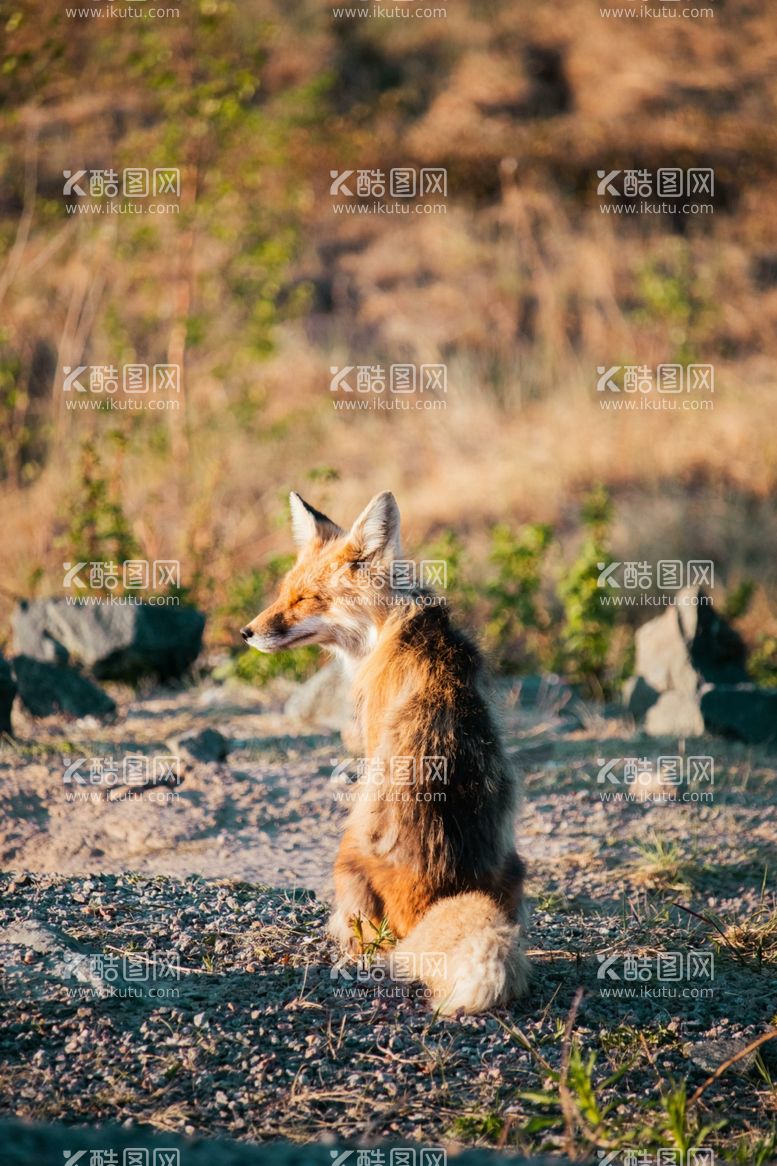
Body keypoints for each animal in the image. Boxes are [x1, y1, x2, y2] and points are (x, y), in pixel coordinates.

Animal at [239, 489, 529, 1012]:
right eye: (284, 592)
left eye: (305, 599)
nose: (245, 633)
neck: (395, 626)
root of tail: (442, 894)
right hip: (518, 866)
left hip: (344, 856)